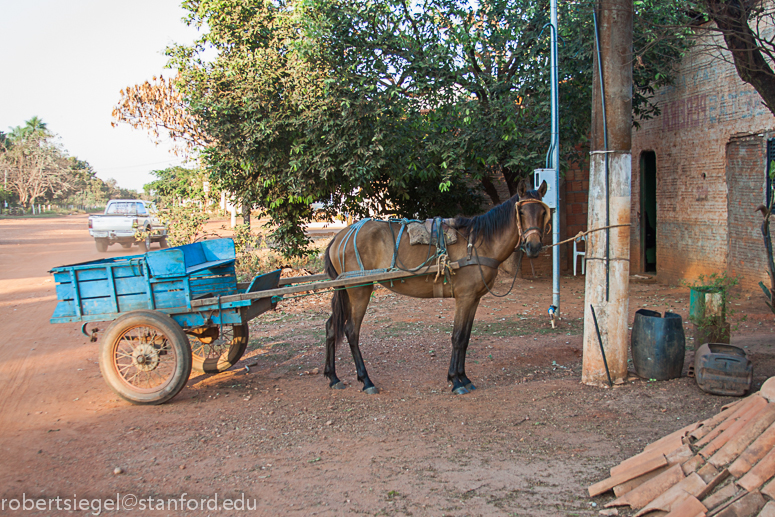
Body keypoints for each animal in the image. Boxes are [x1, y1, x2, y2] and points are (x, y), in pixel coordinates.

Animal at [322, 179, 552, 394]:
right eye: (521, 211)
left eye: (543, 212)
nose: (533, 247)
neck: (478, 244)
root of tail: (339, 236)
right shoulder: (464, 297)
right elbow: (457, 338)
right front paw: (456, 381)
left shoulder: (474, 299)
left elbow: (465, 338)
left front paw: (463, 378)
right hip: (359, 290)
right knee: (351, 331)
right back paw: (366, 380)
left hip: (345, 292)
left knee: (331, 327)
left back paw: (333, 377)